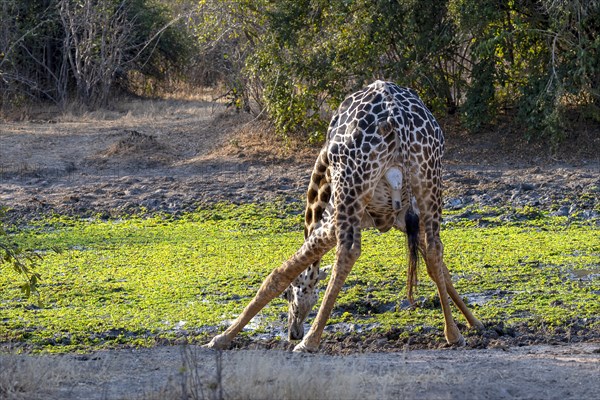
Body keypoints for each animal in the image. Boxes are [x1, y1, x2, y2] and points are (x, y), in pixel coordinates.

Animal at [205, 81, 482, 354]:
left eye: (288, 296)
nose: (294, 332)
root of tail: (397, 119)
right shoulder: (404, 218)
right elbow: (440, 270)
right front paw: (474, 323)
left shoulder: (331, 221)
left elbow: (280, 273)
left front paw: (221, 338)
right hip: (428, 180)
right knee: (436, 247)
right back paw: (452, 335)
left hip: (352, 189)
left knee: (348, 251)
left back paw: (311, 342)